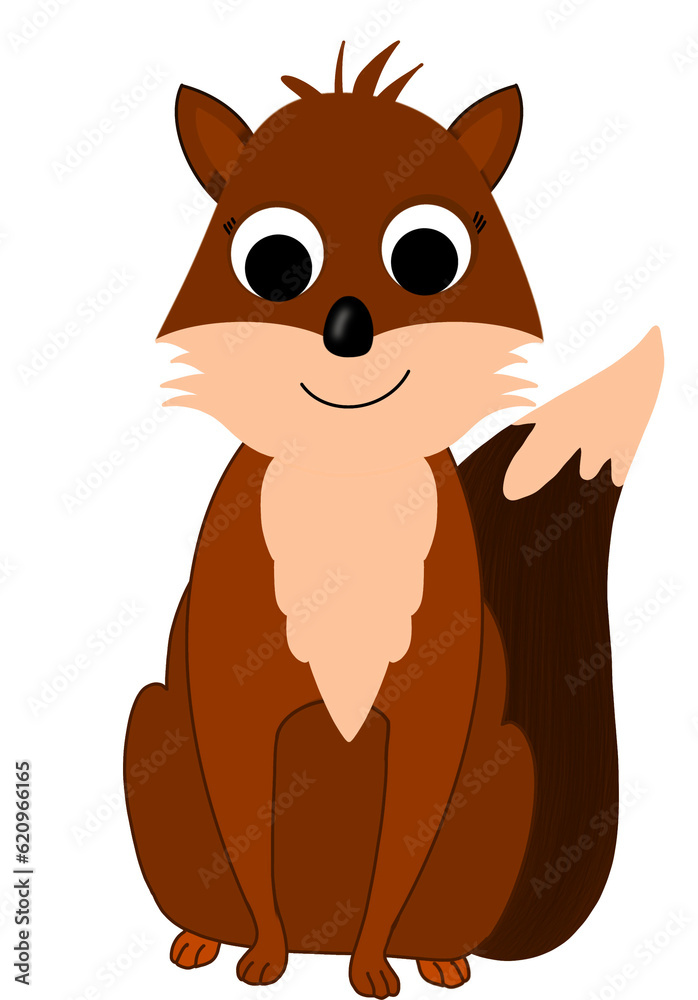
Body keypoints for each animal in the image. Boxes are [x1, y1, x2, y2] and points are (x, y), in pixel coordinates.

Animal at [124, 41, 663, 997]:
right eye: (274, 262)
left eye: (426, 255)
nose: (348, 329)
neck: (349, 480)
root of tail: (322, 939)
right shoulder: (232, 710)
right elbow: (249, 840)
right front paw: (262, 955)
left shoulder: (429, 720)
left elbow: (399, 852)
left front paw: (376, 964)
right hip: (153, 729)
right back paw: (208, 941)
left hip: (505, 771)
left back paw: (433, 955)